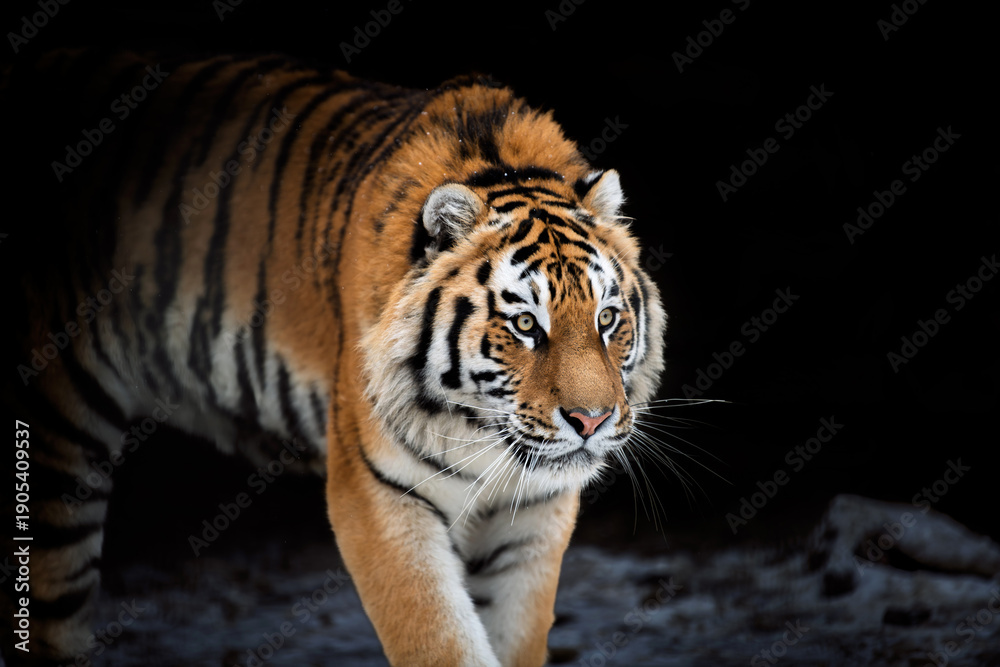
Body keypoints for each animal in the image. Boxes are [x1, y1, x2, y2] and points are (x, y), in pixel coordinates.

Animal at [1, 49, 666, 666]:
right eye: (525, 324)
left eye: (607, 319)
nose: (592, 422)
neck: (483, 439)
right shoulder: (378, 496)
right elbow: (439, 641)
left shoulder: (534, 518)